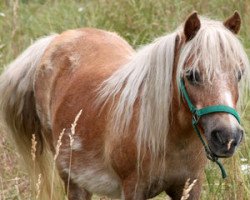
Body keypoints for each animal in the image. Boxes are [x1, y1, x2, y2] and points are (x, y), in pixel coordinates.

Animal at [0, 11, 250, 199]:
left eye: (239, 74)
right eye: (192, 74)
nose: (228, 137)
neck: (169, 138)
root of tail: (56, 39)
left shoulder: (189, 187)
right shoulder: (133, 189)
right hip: (72, 178)